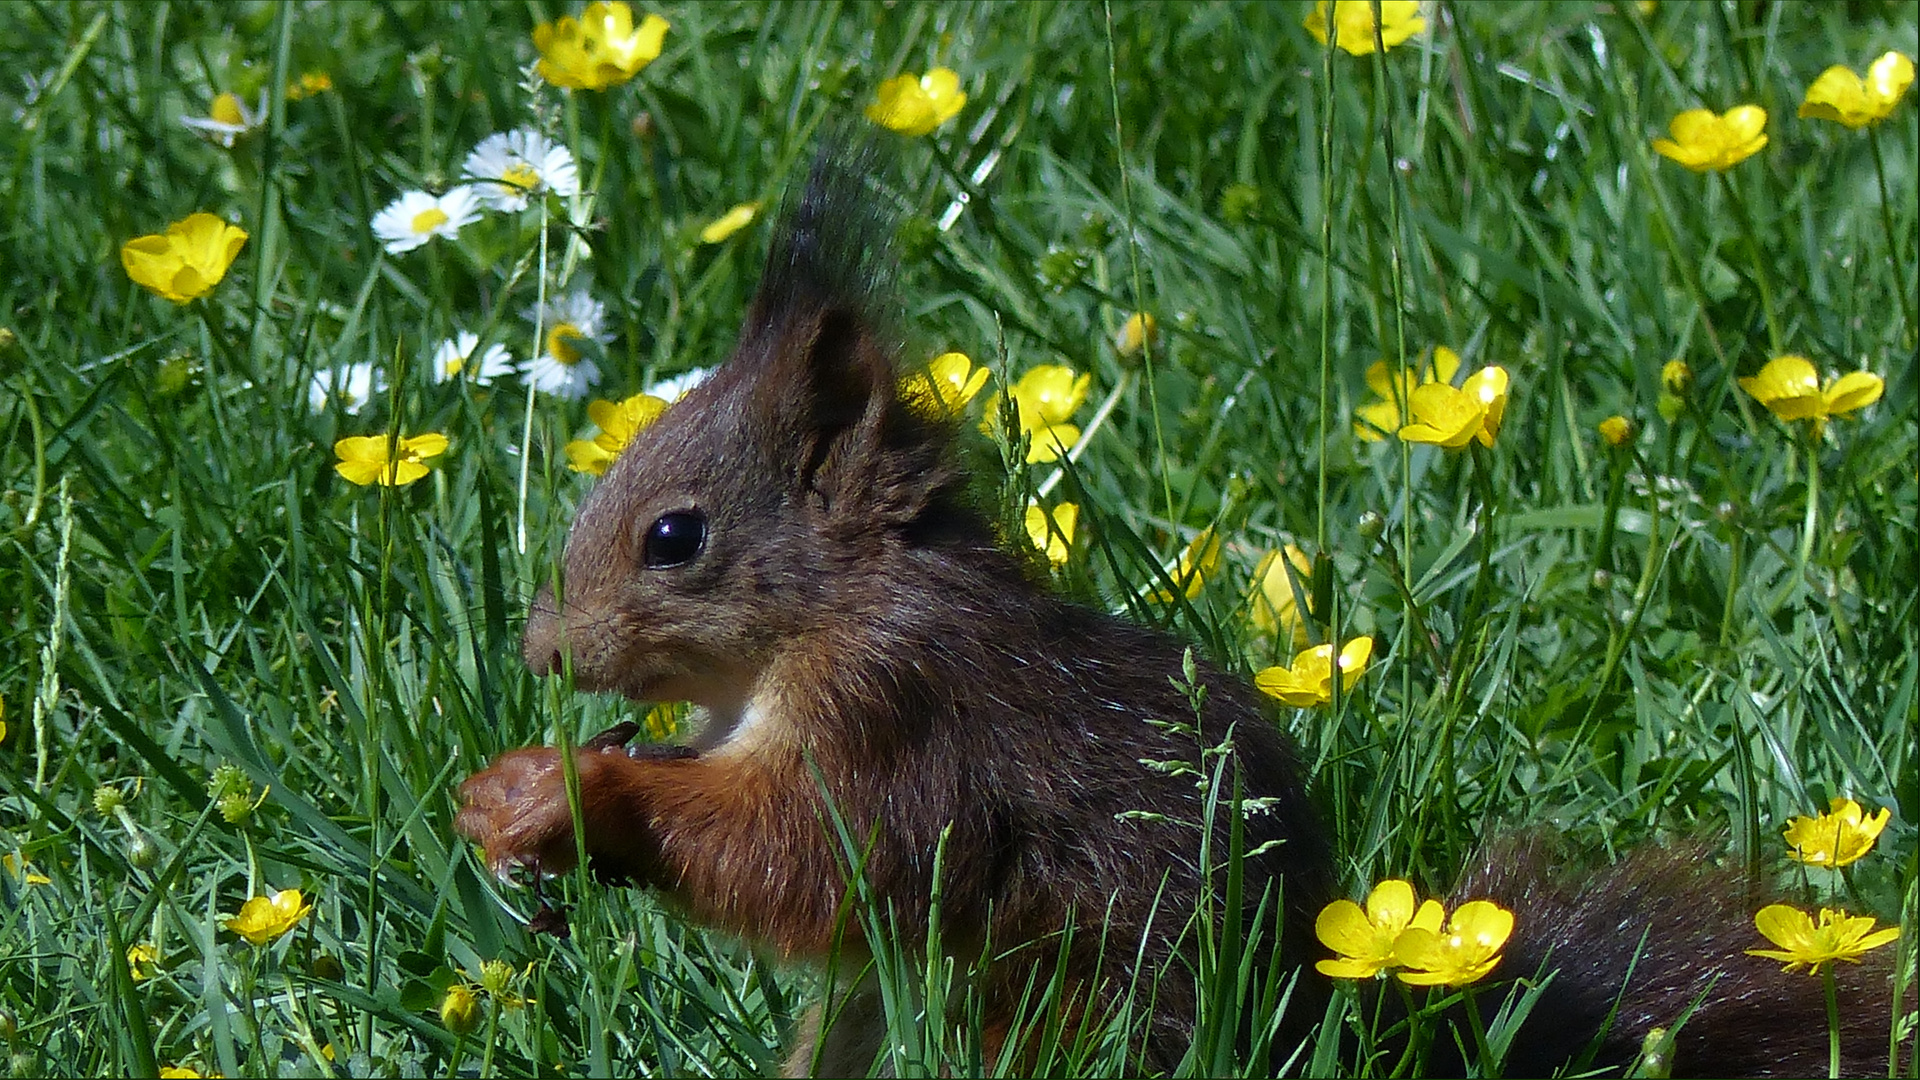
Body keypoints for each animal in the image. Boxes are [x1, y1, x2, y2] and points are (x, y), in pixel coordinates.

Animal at [456, 147, 1912, 1068]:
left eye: (674, 537)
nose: (542, 649)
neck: (835, 608)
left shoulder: (900, 708)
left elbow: (812, 853)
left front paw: (563, 793)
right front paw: (522, 797)